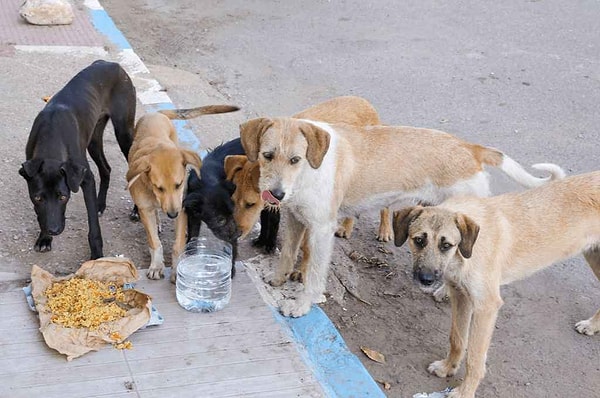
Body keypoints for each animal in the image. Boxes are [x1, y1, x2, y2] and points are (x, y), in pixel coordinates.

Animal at [19, 59, 136, 258]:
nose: (54, 230)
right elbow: (41, 215)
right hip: (93, 139)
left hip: (124, 133)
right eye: (38, 198)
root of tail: (112, 63)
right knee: (106, 169)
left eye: (63, 197)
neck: (51, 135)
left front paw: (97, 255)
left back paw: (136, 210)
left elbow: (93, 226)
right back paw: (100, 204)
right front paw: (44, 238)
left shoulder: (85, 178)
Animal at [127, 104, 238, 282]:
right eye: (159, 187)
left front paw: (177, 269)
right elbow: (154, 242)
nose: (172, 214)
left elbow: (178, 244)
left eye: (179, 184)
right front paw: (156, 265)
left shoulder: (182, 207)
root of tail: (156, 114)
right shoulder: (145, 209)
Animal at [240, 118, 568, 318]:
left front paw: (302, 304)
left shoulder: (321, 230)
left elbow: (313, 275)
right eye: (267, 155)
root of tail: (469, 148)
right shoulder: (296, 219)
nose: (275, 195)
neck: (309, 170)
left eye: (295, 159)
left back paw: (443, 292)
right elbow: (287, 254)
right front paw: (278, 279)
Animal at [392, 171, 596, 398]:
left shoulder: (486, 307)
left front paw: (465, 392)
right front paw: (448, 367)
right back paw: (592, 325)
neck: (467, 250)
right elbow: (457, 339)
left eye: (446, 245)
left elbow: (475, 359)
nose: (426, 279)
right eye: (418, 240)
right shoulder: (461, 296)